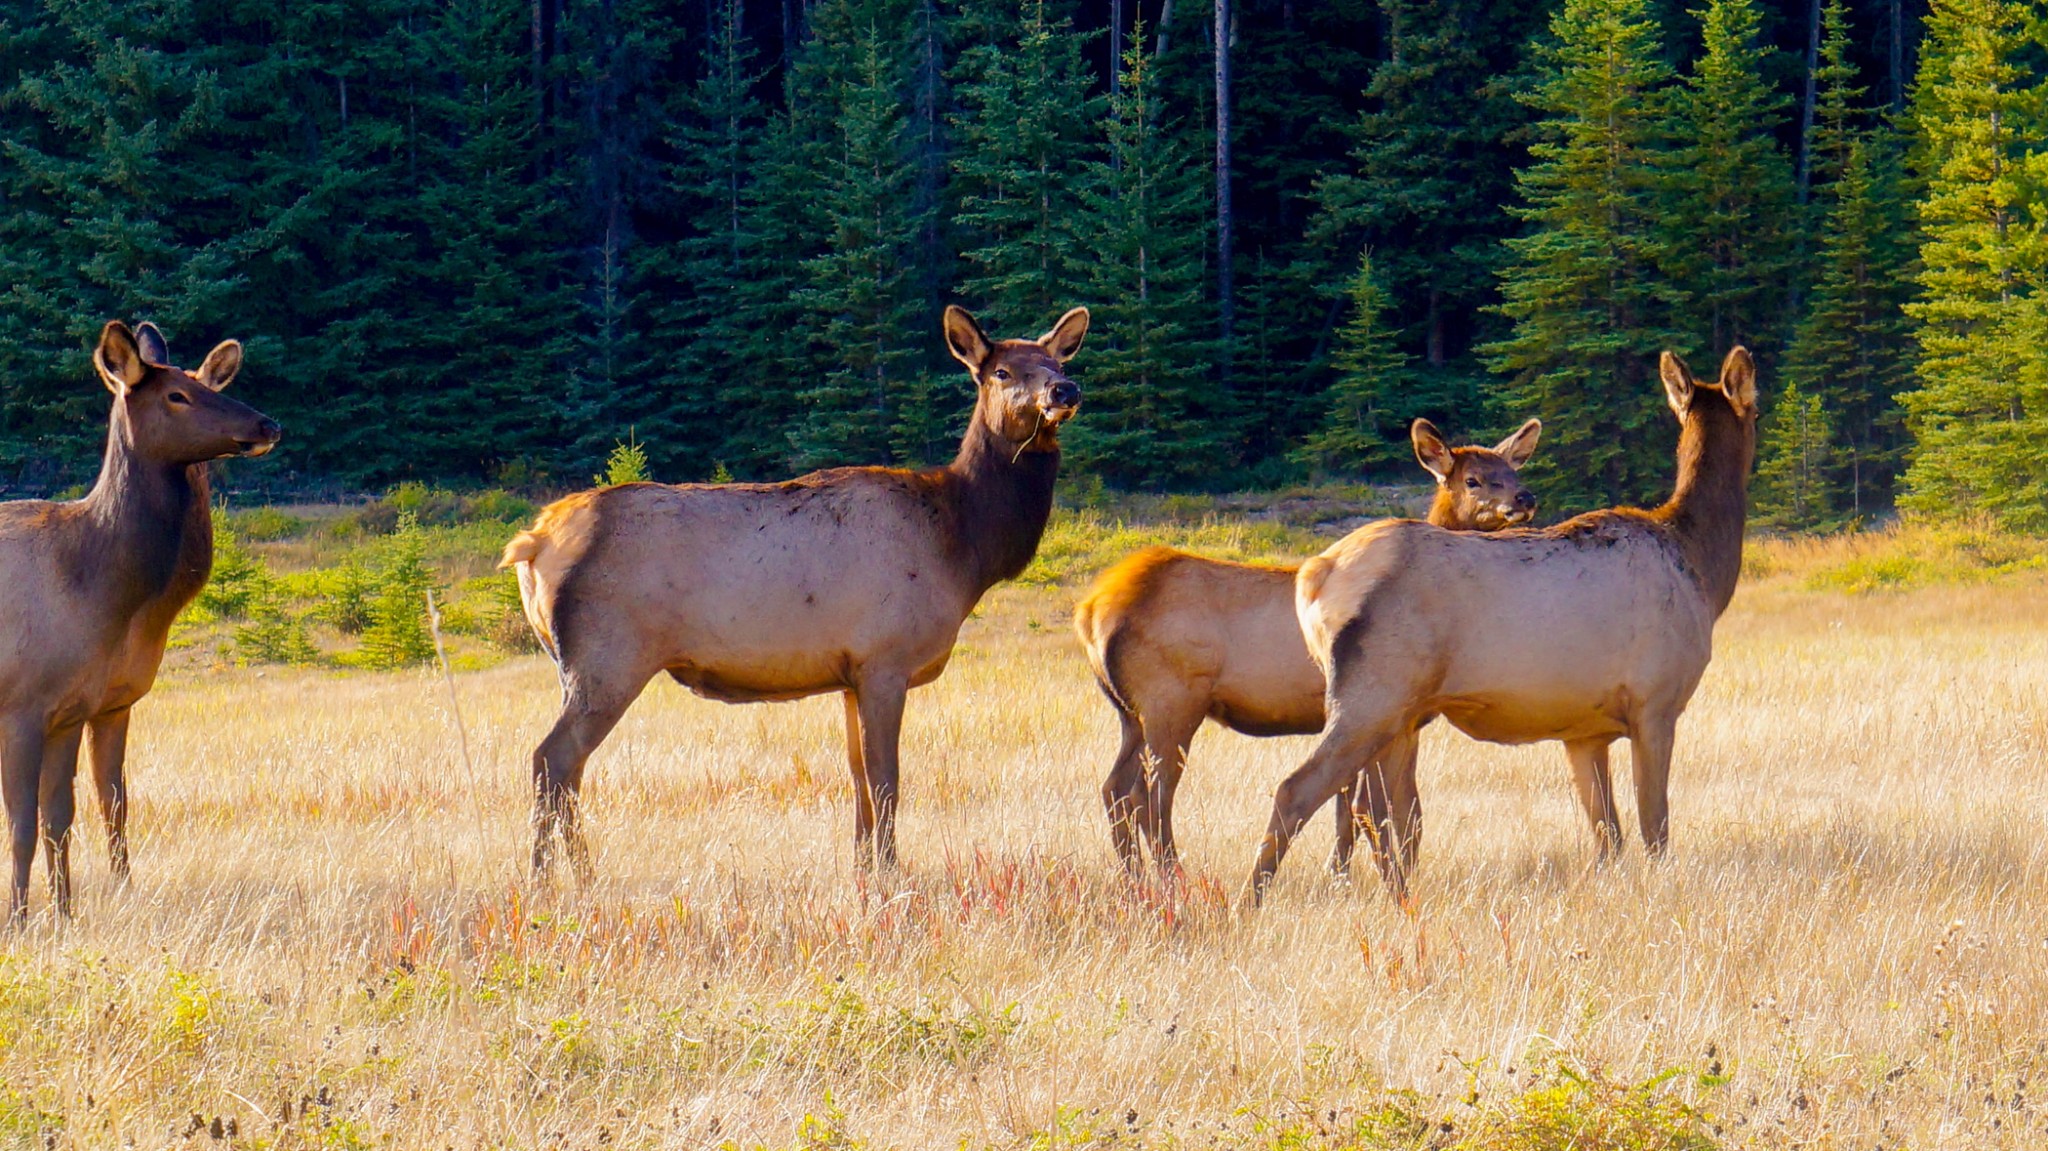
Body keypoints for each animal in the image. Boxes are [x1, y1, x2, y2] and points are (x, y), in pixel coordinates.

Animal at [0, 317, 282, 917]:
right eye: (177, 395)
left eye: (208, 384)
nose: (268, 424)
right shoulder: (21, 704)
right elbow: (23, 825)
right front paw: (20, 919)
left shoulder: (78, 707)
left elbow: (69, 816)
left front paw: (66, 914)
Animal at [501, 301, 1089, 872]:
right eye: (1001, 371)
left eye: (1057, 361)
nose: (1064, 390)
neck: (965, 545)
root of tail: (534, 540)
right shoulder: (885, 658)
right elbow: (886, 778)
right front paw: (891, 872)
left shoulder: (851, 674)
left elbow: (858, 778)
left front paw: (863, 868)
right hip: (610, 655)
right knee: (552, 757)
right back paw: (550, 880)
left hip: (577, 663)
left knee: (570, 768)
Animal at [1073, 415, 1540, 872]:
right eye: (1473, 480)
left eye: (1513, 470)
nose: (1525, 497)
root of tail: (1090, 611)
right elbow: (1365, 809)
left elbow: (1357, 812)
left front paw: (1340, 877)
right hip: (1171, 701)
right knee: (1149, 796)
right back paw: (1174, 880)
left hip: (1130, 713)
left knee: (1114, 789)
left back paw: (1135, 880)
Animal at [1245, 344, 1761, 901]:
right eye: (1756, 409)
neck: (1702, 569)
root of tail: (1313, 577)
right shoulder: (1656, 701)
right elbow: (1654, 828)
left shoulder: (1584, 731)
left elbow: (1608, 837)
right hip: (1374, 693)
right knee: (1301, 790)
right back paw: (1249, 904)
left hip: (1398, 711)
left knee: (1382, 809)